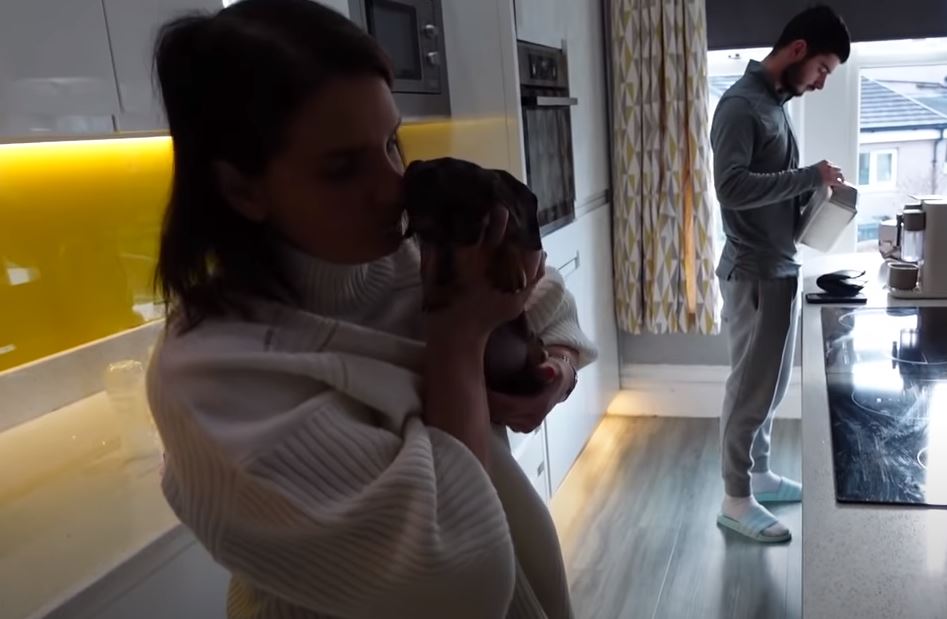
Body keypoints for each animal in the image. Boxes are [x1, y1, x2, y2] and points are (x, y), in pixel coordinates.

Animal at [406, 157, 552, 394]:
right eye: (426, 229)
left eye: (480, 220)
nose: (469, 238)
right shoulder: (435, 245)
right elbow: (435, 262)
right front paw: (434, 290)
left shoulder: (506, 213)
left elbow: (509, 234)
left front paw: (509, 270)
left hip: (528, 335)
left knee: (534, 346)